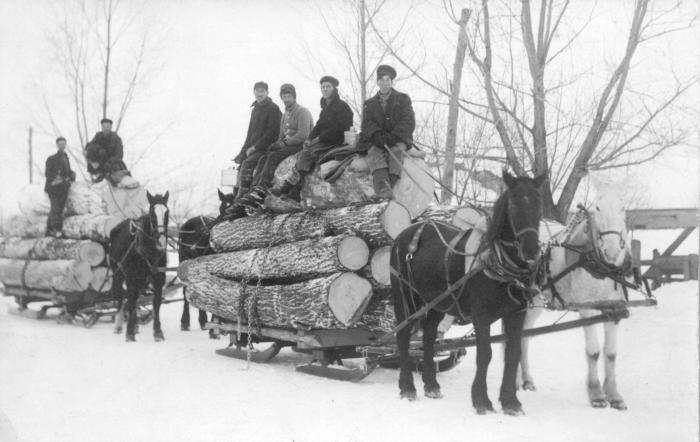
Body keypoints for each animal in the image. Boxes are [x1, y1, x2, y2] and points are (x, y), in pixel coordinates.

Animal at [109, 191, 170, 342]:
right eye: (152, 214)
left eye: (167, 212)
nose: (161, 240)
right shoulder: (131, 277)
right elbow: (130, 302)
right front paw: (129, 333)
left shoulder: (159, 277)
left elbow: (156, 303)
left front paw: (158, 332)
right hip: (118, 274)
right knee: (121, 297)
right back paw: (119, 325)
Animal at [390, 170, 546, 415]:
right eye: (513, 204)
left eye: (540, 204)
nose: (531, 250)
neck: (497, 261)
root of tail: (404, 233)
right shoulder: (481, 314)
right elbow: (485, 354)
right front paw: (481, 400)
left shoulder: (517, 314)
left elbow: (513, 354)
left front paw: (510, 401)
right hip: (405, 297)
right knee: (403, 335)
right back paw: (407, 386)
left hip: (437, 302)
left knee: (429, 336)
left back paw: (431, 384)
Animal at [519, 185, 631, 410]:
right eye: (597, 208)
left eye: (623, 208)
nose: (612, 250)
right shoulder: (587, 308)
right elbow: (594, 351)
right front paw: (596, 394)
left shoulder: (614, 310)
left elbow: (611, 353)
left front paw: (614, 395)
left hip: (536, 302)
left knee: (523, 335)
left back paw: (525, 379)